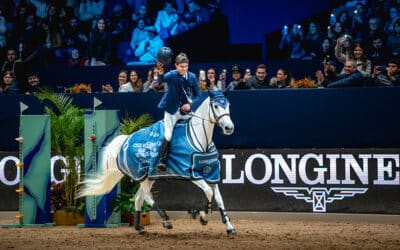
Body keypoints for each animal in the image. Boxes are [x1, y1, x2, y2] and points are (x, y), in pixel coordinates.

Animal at [76, 91, 236, 235]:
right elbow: (208, 192)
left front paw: (229, 227)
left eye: (228, 105)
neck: (202, 140)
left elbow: (219, 199)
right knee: (146, 197)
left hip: (149, 177)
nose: (229, 128)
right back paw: (166, 220)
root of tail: (126, 140)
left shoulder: (211, 174)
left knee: (138, 198)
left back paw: (139, 228)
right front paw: (202, 216)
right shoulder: (192, 174)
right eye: (215, 106)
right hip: (142, 175)